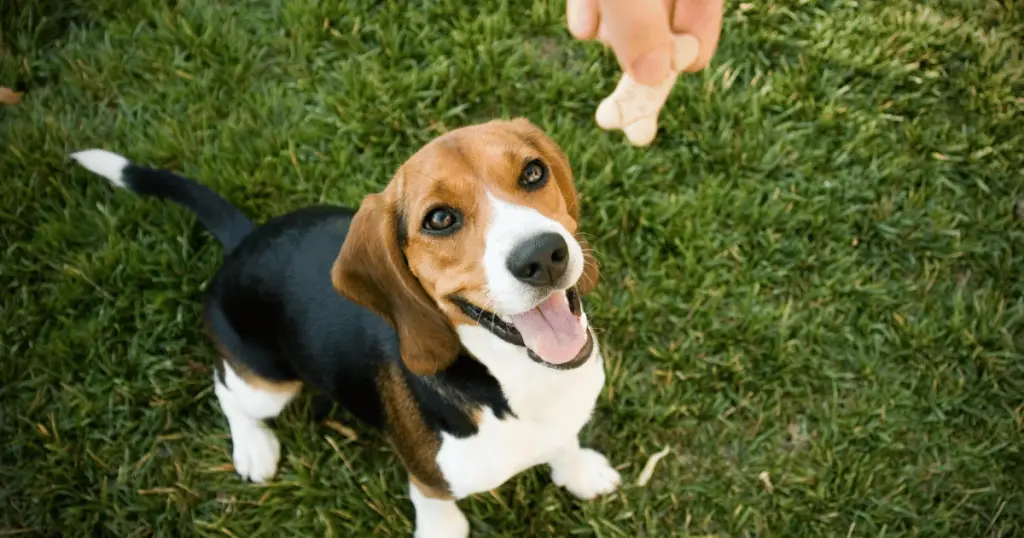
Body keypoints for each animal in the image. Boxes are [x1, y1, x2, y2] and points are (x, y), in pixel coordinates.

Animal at [72, 119, 618, 532]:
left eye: (533, 172)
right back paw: (252, 446)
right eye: (439, 219)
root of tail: (244, 241)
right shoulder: (429, 481)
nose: (542, 256)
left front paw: (579, 471)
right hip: (268, 386)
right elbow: (439, 511)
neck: (517, 378)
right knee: (226, 388)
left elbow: (565, 442)